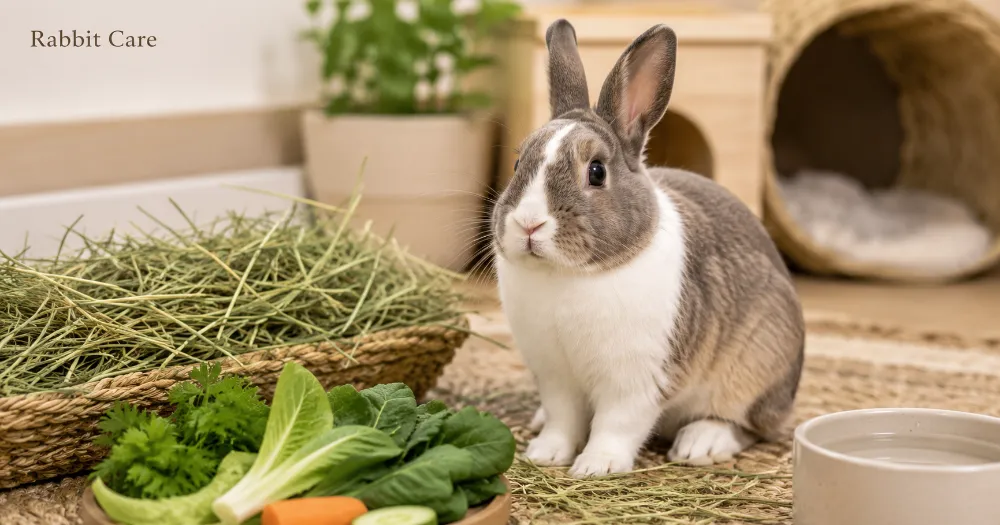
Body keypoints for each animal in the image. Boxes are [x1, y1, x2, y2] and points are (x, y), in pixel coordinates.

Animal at [490, 19, 805, 479]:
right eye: (517, 164)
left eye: (597, 172)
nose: (528, 223)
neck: (569, 274)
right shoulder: (554, 375)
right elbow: (563, 418)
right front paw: (545, 454)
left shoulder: (636, 380)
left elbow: (617, 424)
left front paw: (596, 466)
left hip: (757, 368)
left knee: (748, 425)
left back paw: (701, 443)